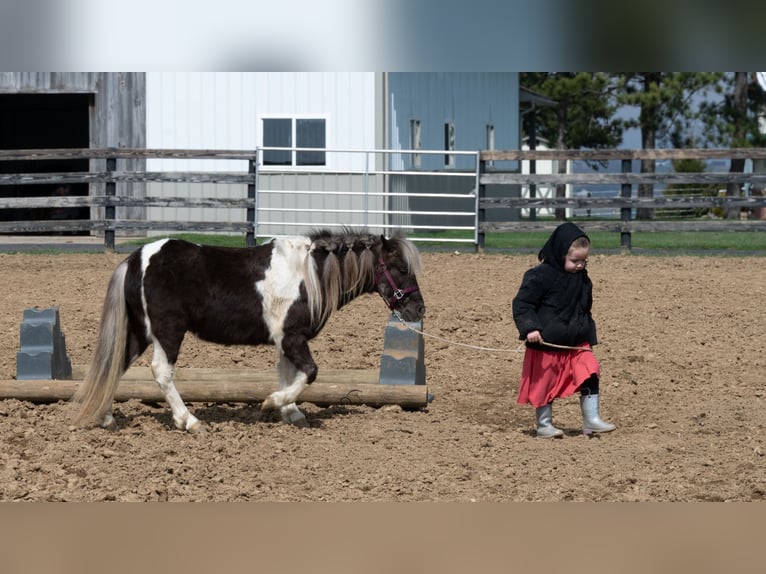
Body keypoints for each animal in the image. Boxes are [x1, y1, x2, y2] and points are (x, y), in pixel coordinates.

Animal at [70, 229, 425, 432]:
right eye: (400, 268)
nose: (418, 309)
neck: (310, 275)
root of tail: (135, 259)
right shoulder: (293, 338)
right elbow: (309, 373)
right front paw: (272, 403)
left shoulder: (287, 341)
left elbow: (290, 374)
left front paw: (290, 412)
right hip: (167, 332)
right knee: (161, 372)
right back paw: (189, 421)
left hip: (139, 333)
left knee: (115, 366)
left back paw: (106, 417)